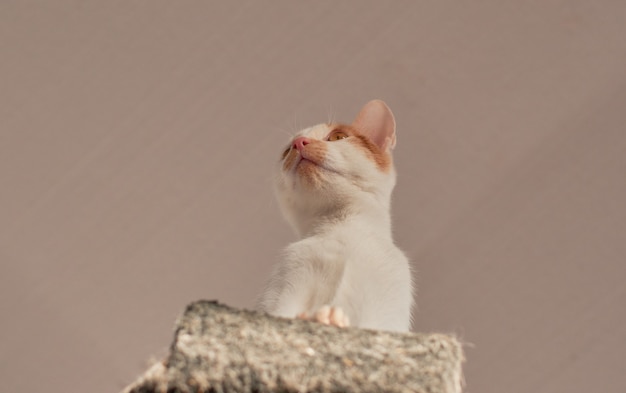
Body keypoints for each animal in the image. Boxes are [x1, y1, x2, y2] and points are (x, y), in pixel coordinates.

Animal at [256, 99, 412, 330]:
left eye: (338, 137)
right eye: (286, 152)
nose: (299, 143)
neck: (341, 227)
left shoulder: (387, 307)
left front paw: (331, 317)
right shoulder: (283, 286)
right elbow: (281, 312)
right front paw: (319, 317)